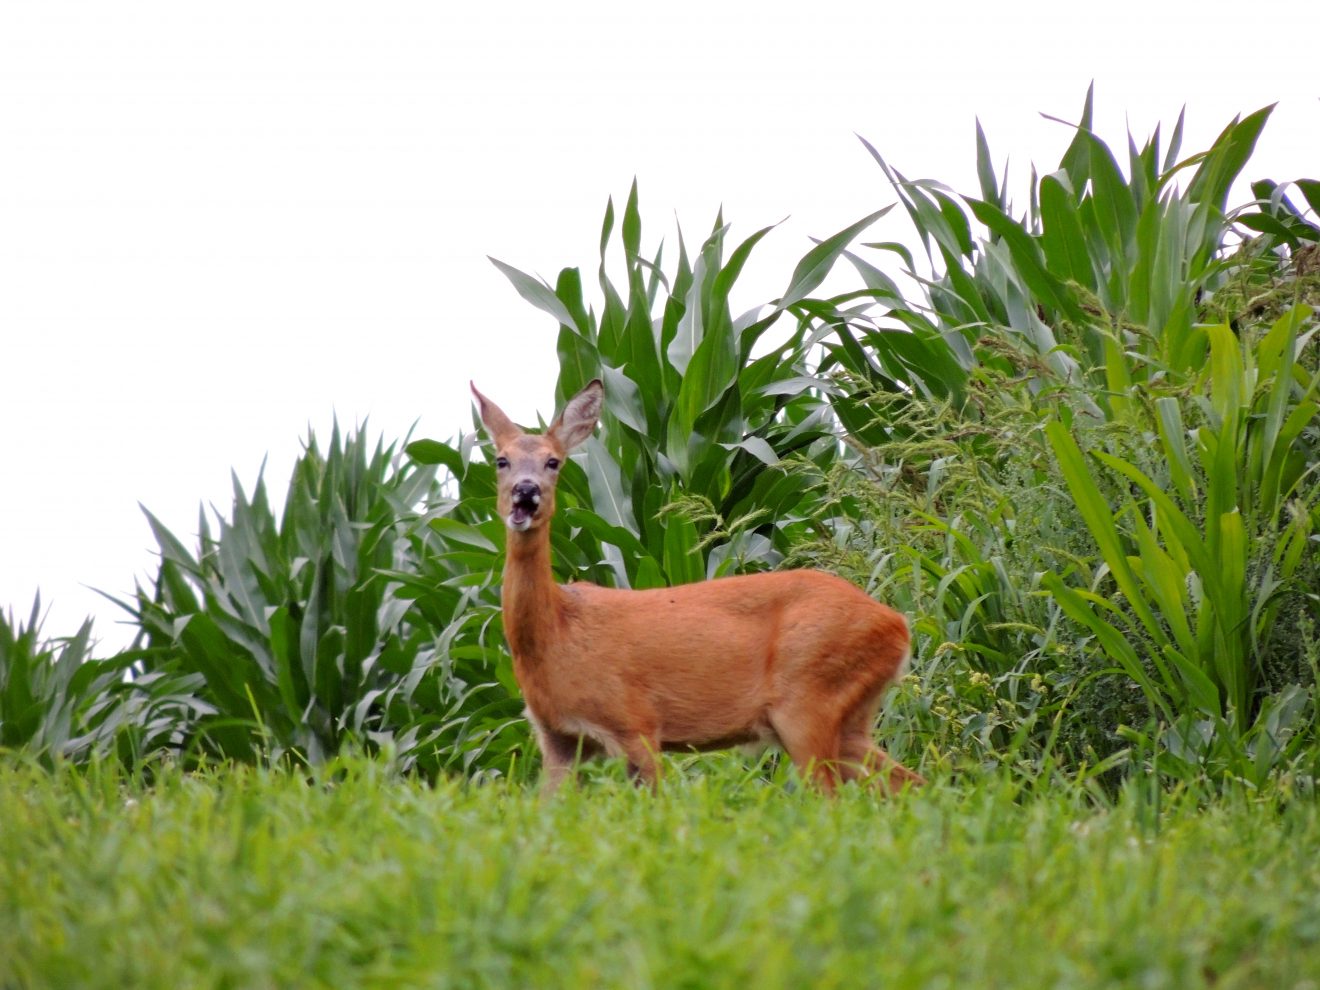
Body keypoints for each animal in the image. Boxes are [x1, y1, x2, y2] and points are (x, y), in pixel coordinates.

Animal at [469, 377, 924, 797]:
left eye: (553, 462)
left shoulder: (636, 721)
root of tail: (898, 625)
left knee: (832, 796)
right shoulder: (558, 737)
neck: (558, 632)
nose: (525, 493)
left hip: (810, 698)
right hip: (849, 718)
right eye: (501, 460)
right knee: (910, 782)